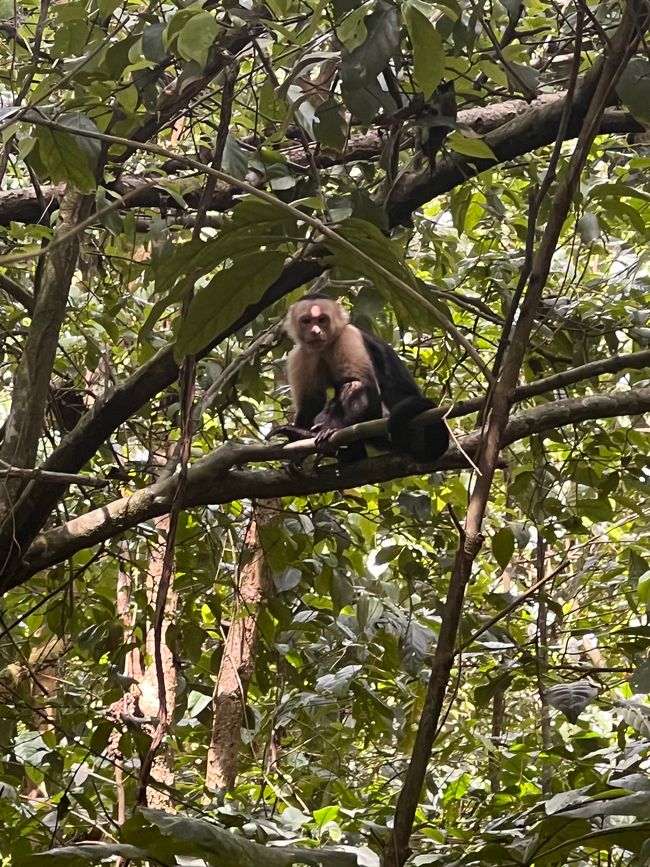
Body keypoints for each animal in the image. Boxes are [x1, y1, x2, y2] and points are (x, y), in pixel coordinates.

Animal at [270, 294, 448, 464]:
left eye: (322, 320)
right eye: (306, 321)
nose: (315, 331)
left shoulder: (349, 337)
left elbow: (362, 385)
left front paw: (331, 428)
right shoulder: (301, 355)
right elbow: (310, 400)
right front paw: (297, 441)